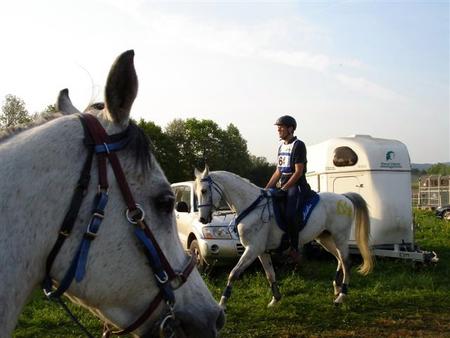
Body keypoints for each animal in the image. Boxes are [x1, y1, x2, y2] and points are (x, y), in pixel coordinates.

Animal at [193, 166, 372, 308]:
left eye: (204, 191)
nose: (202, 219)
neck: (250, 206)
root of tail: (345, 197)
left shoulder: (253, 249)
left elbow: (233, 273)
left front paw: (222, 303)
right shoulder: (261, 251)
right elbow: (270, 274)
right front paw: (275, 299)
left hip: (340, 237)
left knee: (346, 261)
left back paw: (342, 296)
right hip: (325, 238)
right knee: (339, 259)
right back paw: (337, 288)